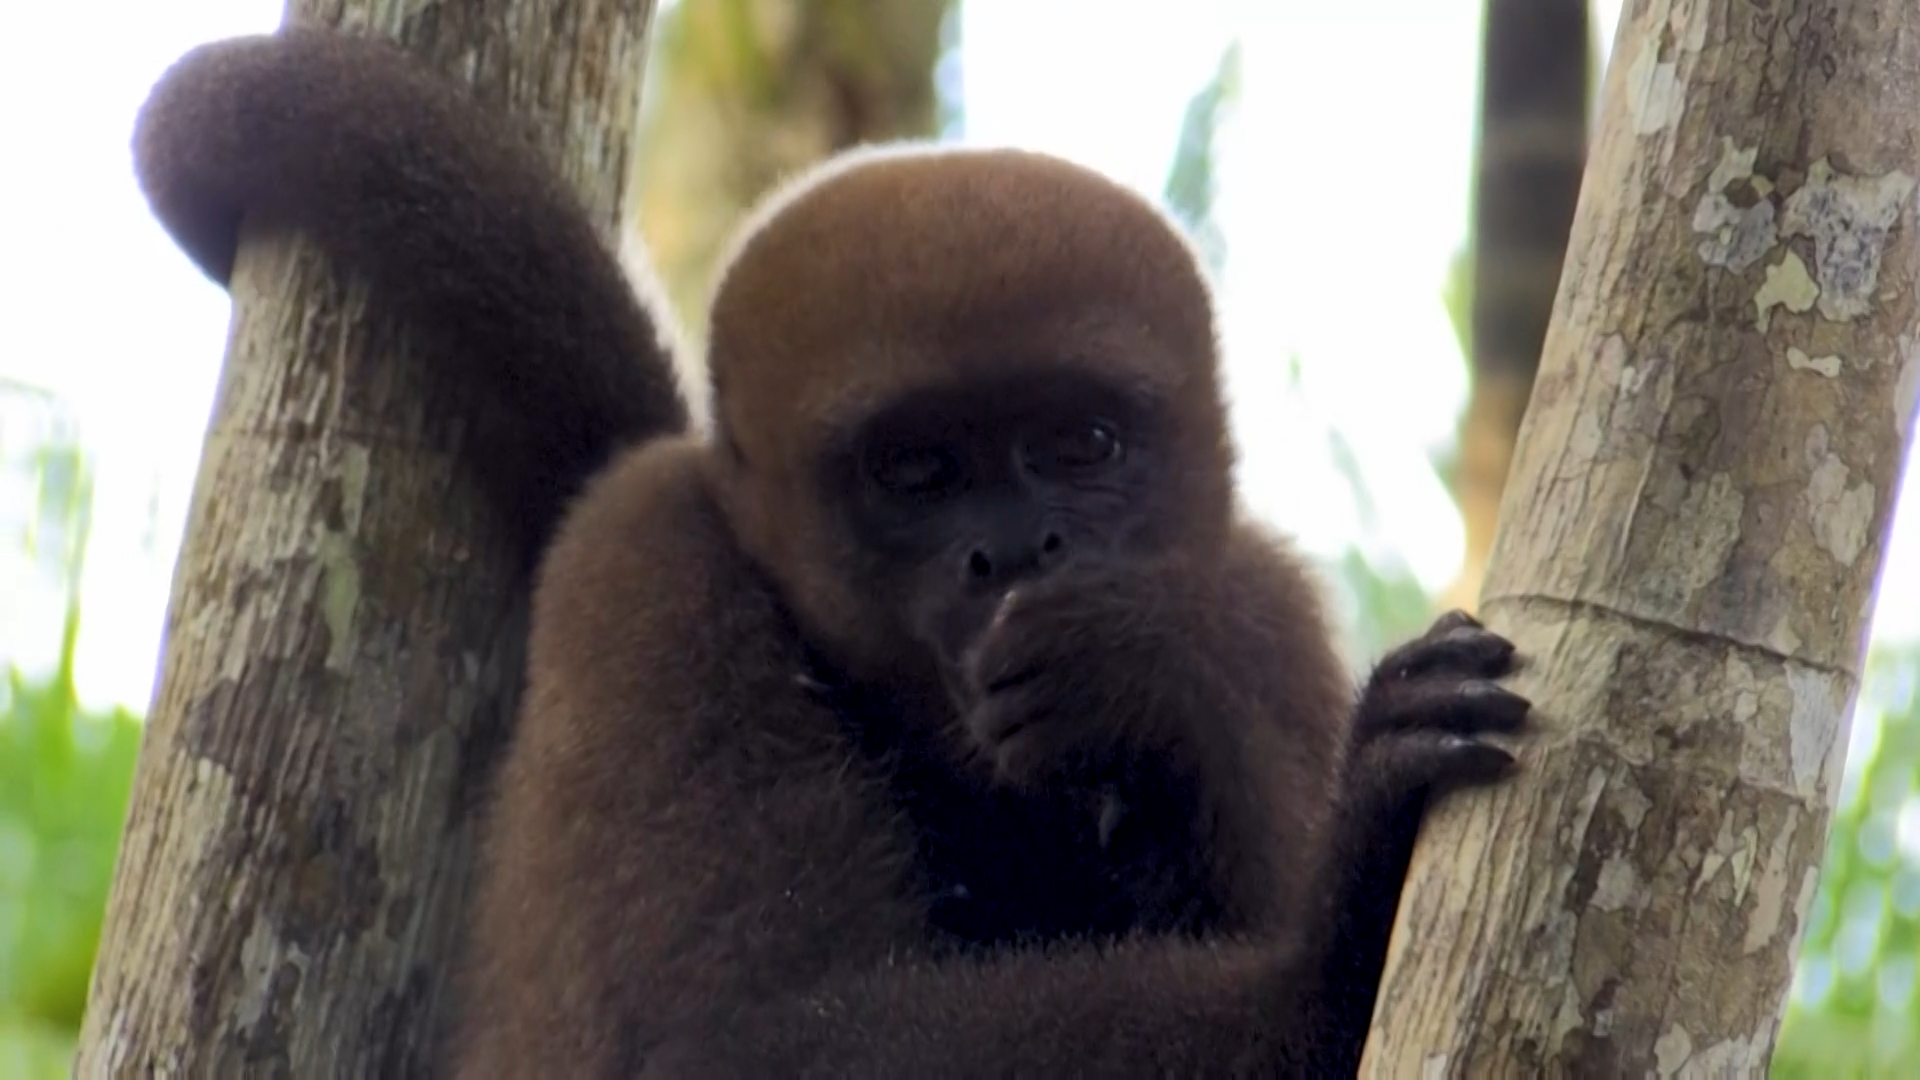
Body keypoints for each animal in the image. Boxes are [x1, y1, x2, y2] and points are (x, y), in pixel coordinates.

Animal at [134, 28, 1534, 1078]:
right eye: (915, 471)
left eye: (1081, 441)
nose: (1017, 549)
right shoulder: (645, 562)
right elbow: (737, 1044)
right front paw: (1343, 938)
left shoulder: (1263, 607)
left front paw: (1146, 673)